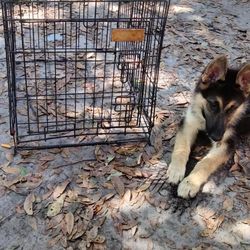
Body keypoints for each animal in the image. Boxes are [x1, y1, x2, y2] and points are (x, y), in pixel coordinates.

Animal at [166, 55, 250, 198]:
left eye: (232, 109)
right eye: (213, 104)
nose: (217, 138)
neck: (204, 120)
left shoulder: (226, 143)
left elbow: (206, 162)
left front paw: (190, 183)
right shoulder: (189, 124)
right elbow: (181, 148)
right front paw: (176, 170)